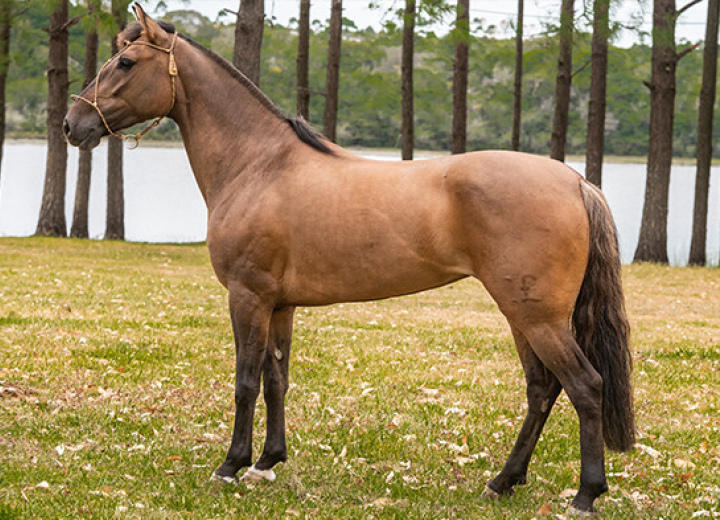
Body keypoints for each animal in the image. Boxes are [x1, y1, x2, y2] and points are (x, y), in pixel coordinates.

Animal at [64, 5, 632, 516]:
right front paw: (268, 461)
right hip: (522, 315)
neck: (259, 165)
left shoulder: (247, 297)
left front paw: (231, 465)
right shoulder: (280, 305)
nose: (73, 124)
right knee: (542, 390)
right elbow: (276, 379)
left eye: (126, 63)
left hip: (537, 317)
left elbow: (245, 381)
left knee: (584, 387)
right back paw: (503, 481)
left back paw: (584, 495)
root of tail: (575, 180)